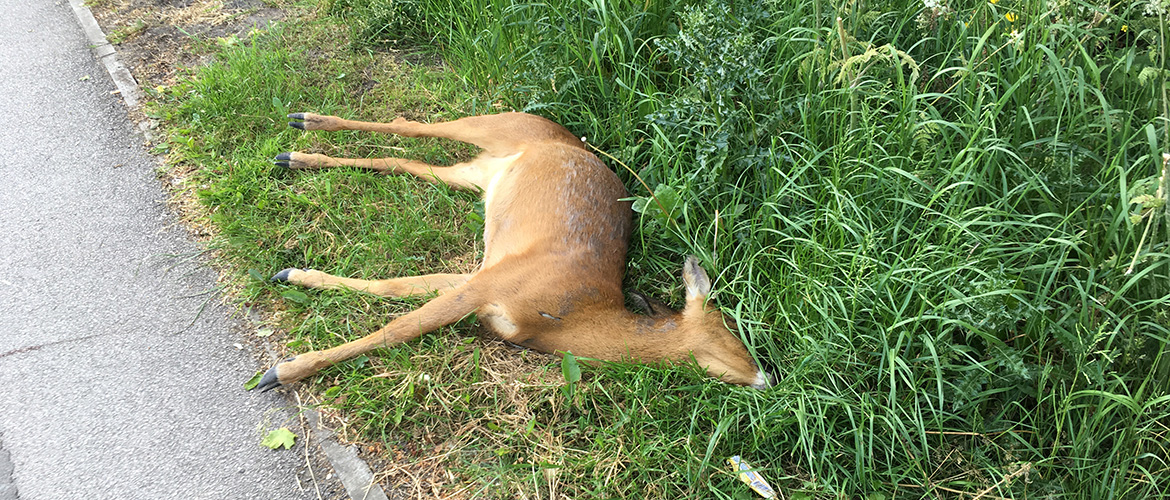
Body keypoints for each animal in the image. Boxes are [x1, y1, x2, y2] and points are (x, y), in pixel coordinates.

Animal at [257, 111, 772, 392]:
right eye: (733, 331)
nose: (767, 375)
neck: (566, 317)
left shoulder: (482, 276)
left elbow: (395, 288)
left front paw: (293, 275)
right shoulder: (492, 281)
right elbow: (397, 328)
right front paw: (284, 371)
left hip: (476, 175)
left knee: (402, 161)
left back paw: (296, 156)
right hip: (497, 125)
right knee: (416, 126)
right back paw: (305, 123)